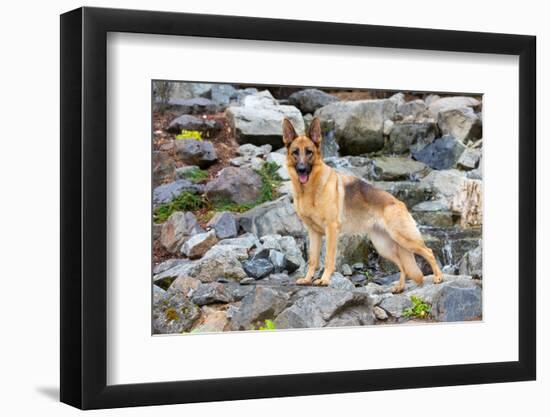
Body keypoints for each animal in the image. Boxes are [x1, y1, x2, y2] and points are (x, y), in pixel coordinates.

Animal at [284, 116, 444, 292]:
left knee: (428, 251)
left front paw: (324, 280)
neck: (310, 190)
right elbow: (313, 259)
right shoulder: (313, 233)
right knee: (402, 264)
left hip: (404, 239)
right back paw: (400, 287)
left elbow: (328, 259)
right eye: (295, 152)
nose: (301, 169)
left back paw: (438, 277)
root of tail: (399, 203)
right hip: (384, 247)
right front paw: (307, 279)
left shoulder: (331, 230)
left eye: (309, 152)